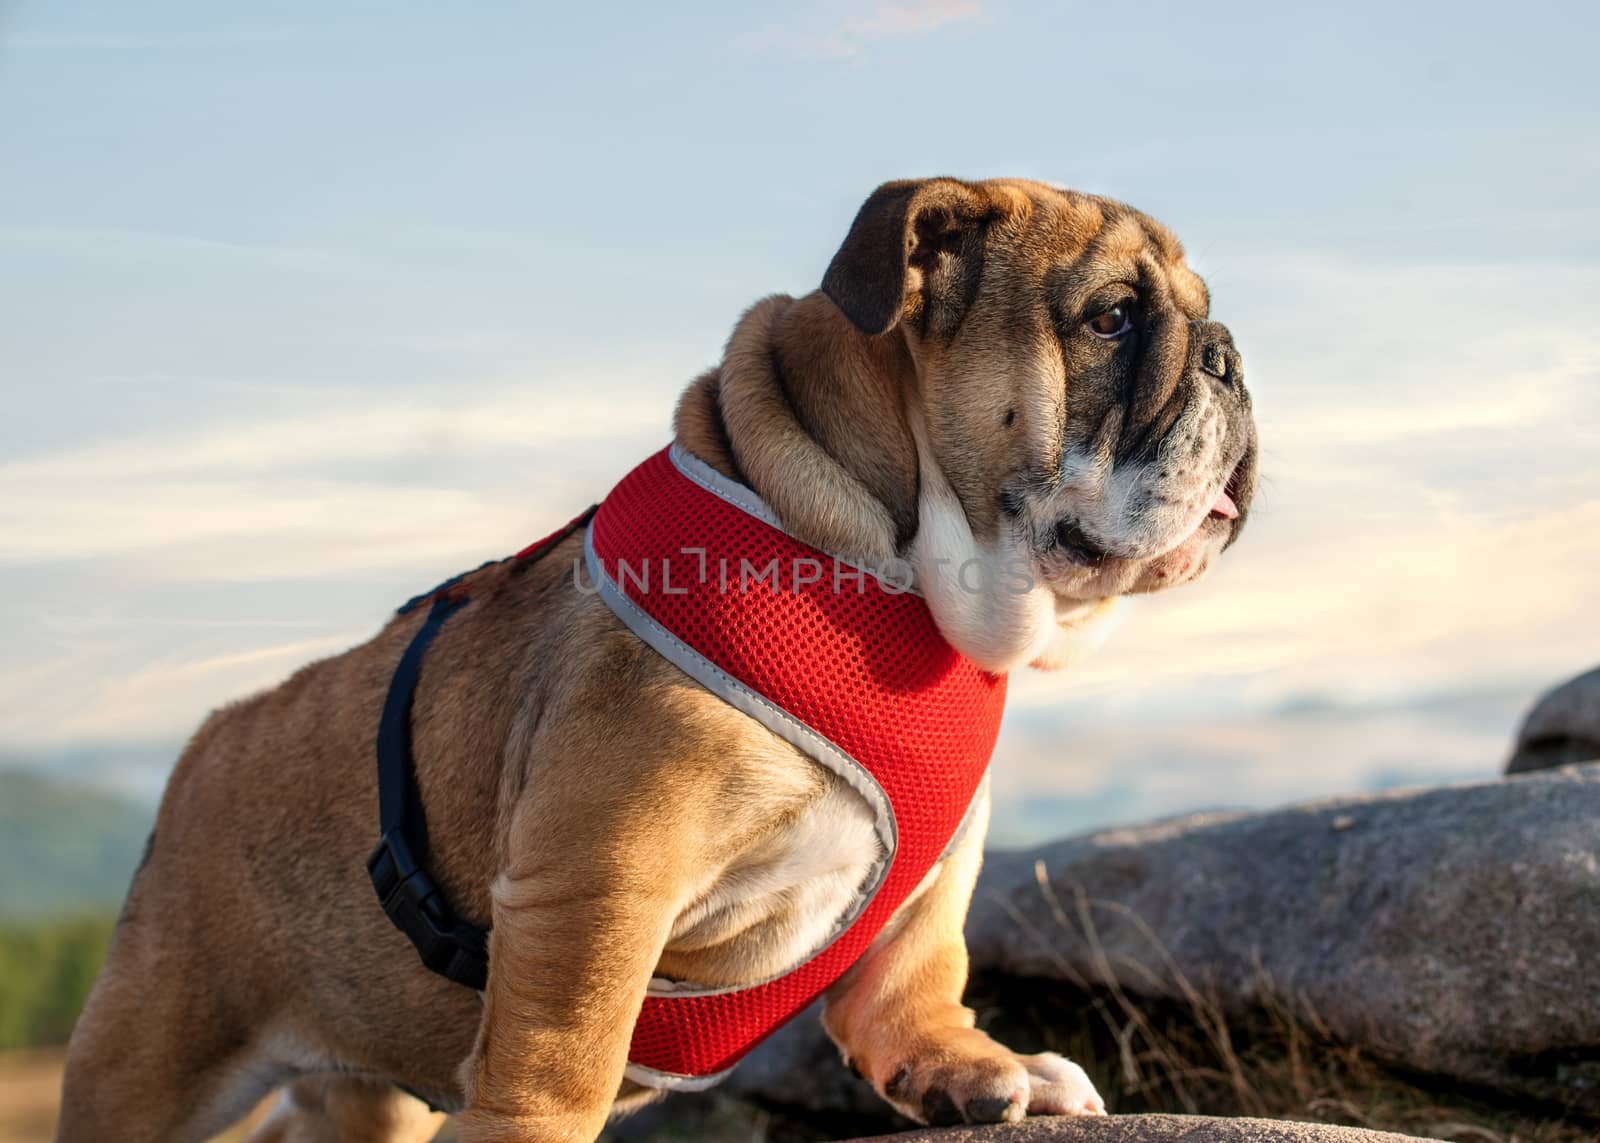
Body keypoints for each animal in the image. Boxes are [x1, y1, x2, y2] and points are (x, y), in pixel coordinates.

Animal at [59, 173, 1248, 1133]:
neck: (900, 580)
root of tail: (202, 755)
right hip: (152, 1052)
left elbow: (918, 959)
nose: (1231, 356)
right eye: (1112, 318)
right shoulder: (600, 876)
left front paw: (963, 1064)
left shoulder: (946, 846)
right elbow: (564, 1047)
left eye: (1200, 317)